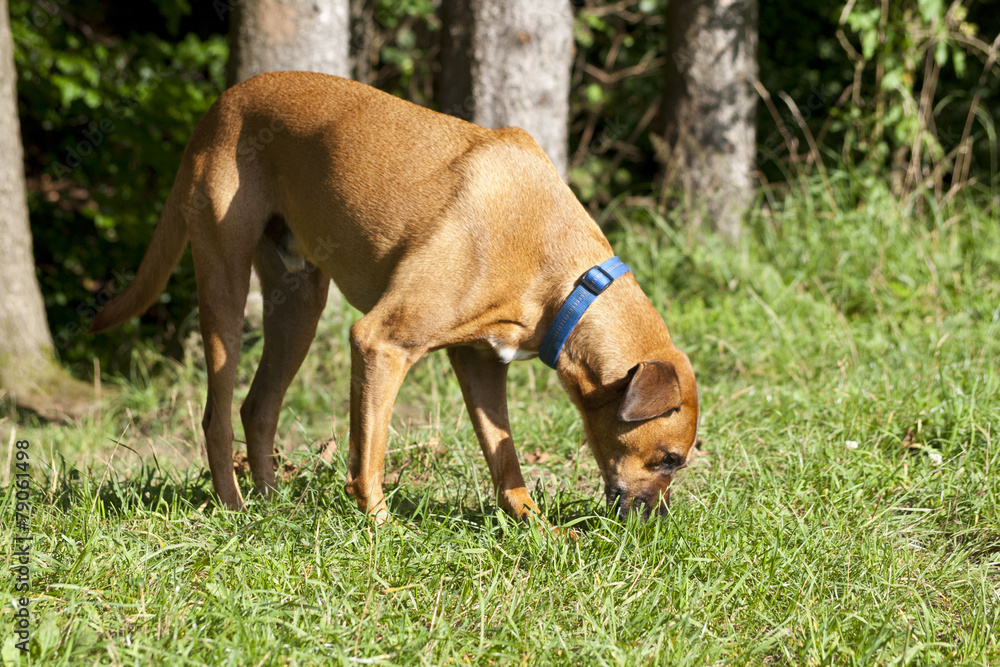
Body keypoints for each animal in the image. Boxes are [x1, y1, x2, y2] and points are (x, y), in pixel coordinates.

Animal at [92, 72, 704, 520]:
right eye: (669, 459)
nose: (658, 522)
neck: (565, 275)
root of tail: (220, 104)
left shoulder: (480, 362)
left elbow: (503, 456)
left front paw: (534, 527)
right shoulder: (381, 344)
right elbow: (370, 455)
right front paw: (381, 528)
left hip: (298, 305)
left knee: (258, 407)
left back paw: (269, 505)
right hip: (224, 289)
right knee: (216, 416)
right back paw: (235, 508)